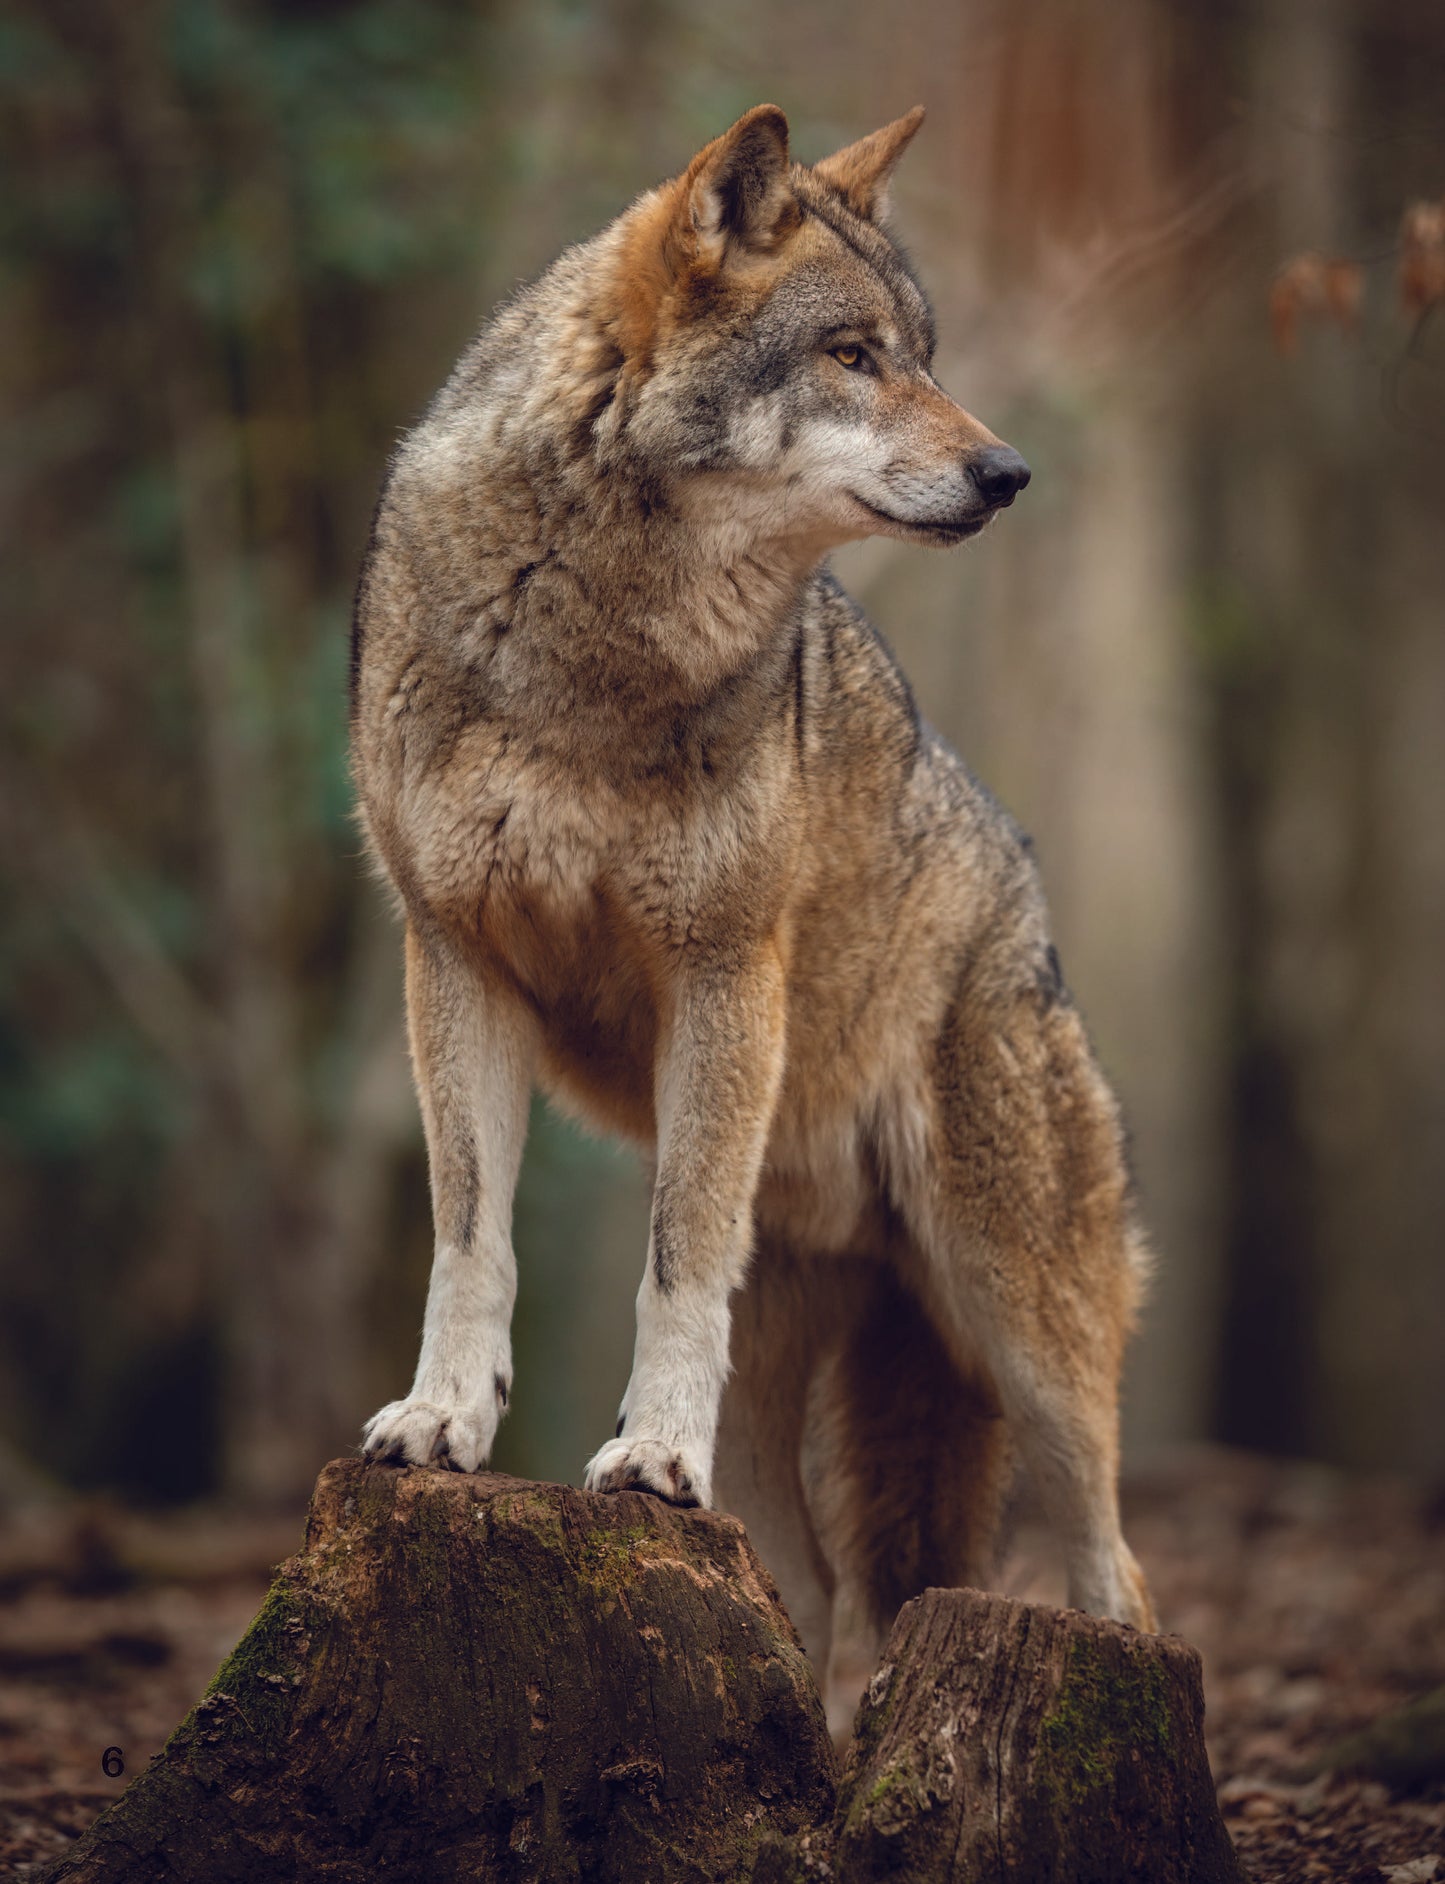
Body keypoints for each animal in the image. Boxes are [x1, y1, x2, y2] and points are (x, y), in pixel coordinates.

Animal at [352, 103, 1155, 1734]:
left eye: (922, 351)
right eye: (851, 354)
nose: (1008, 471)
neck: (593, 638)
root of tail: (1030, 911)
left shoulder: (720, 969)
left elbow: (672, 1258)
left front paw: (650, 1458)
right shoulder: (451, 957)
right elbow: (470, 1237)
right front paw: (446, 1421)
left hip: (1023, 1335)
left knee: (1120, 1577)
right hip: (840, 1391)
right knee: (823, 1601)